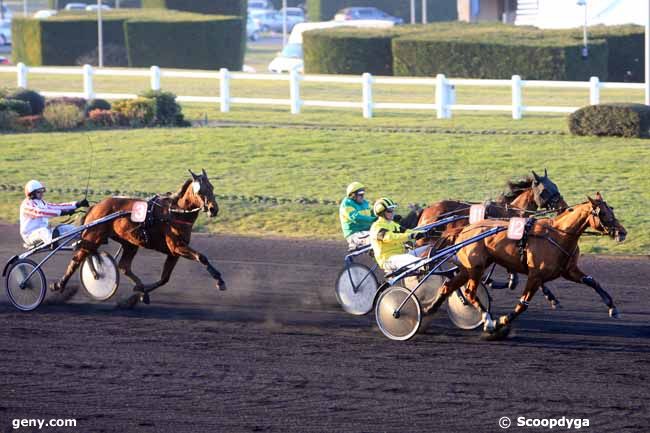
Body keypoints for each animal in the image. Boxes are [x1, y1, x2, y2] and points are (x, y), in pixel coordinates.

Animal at [52, 169, 227, 308]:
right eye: (200, 191)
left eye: (211, 187)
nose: (213, 209)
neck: (175, 212)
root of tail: (95, 206)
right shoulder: (177, 246)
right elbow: (201, 257)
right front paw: (219, 281)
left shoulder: (174, 252)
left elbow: (164, 278)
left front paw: (138, 295)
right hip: (93, 236)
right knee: (78, 258)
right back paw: (59, 285)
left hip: (129, 242)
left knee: (123, 266)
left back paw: (140, 288)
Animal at [420, 191, 628, 340]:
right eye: (603, 213)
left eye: (611, 209)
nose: (622, 232)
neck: (558, 235)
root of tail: (465, 228)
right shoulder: (535, 276)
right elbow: (523, 304)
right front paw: (501, 322)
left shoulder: (569, 271)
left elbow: (592, 281)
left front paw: (612, 307)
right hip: (476, 268)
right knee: (470, 292)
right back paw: (488, 320)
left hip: (468, 268)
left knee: (447, 286)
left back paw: (429, 311)